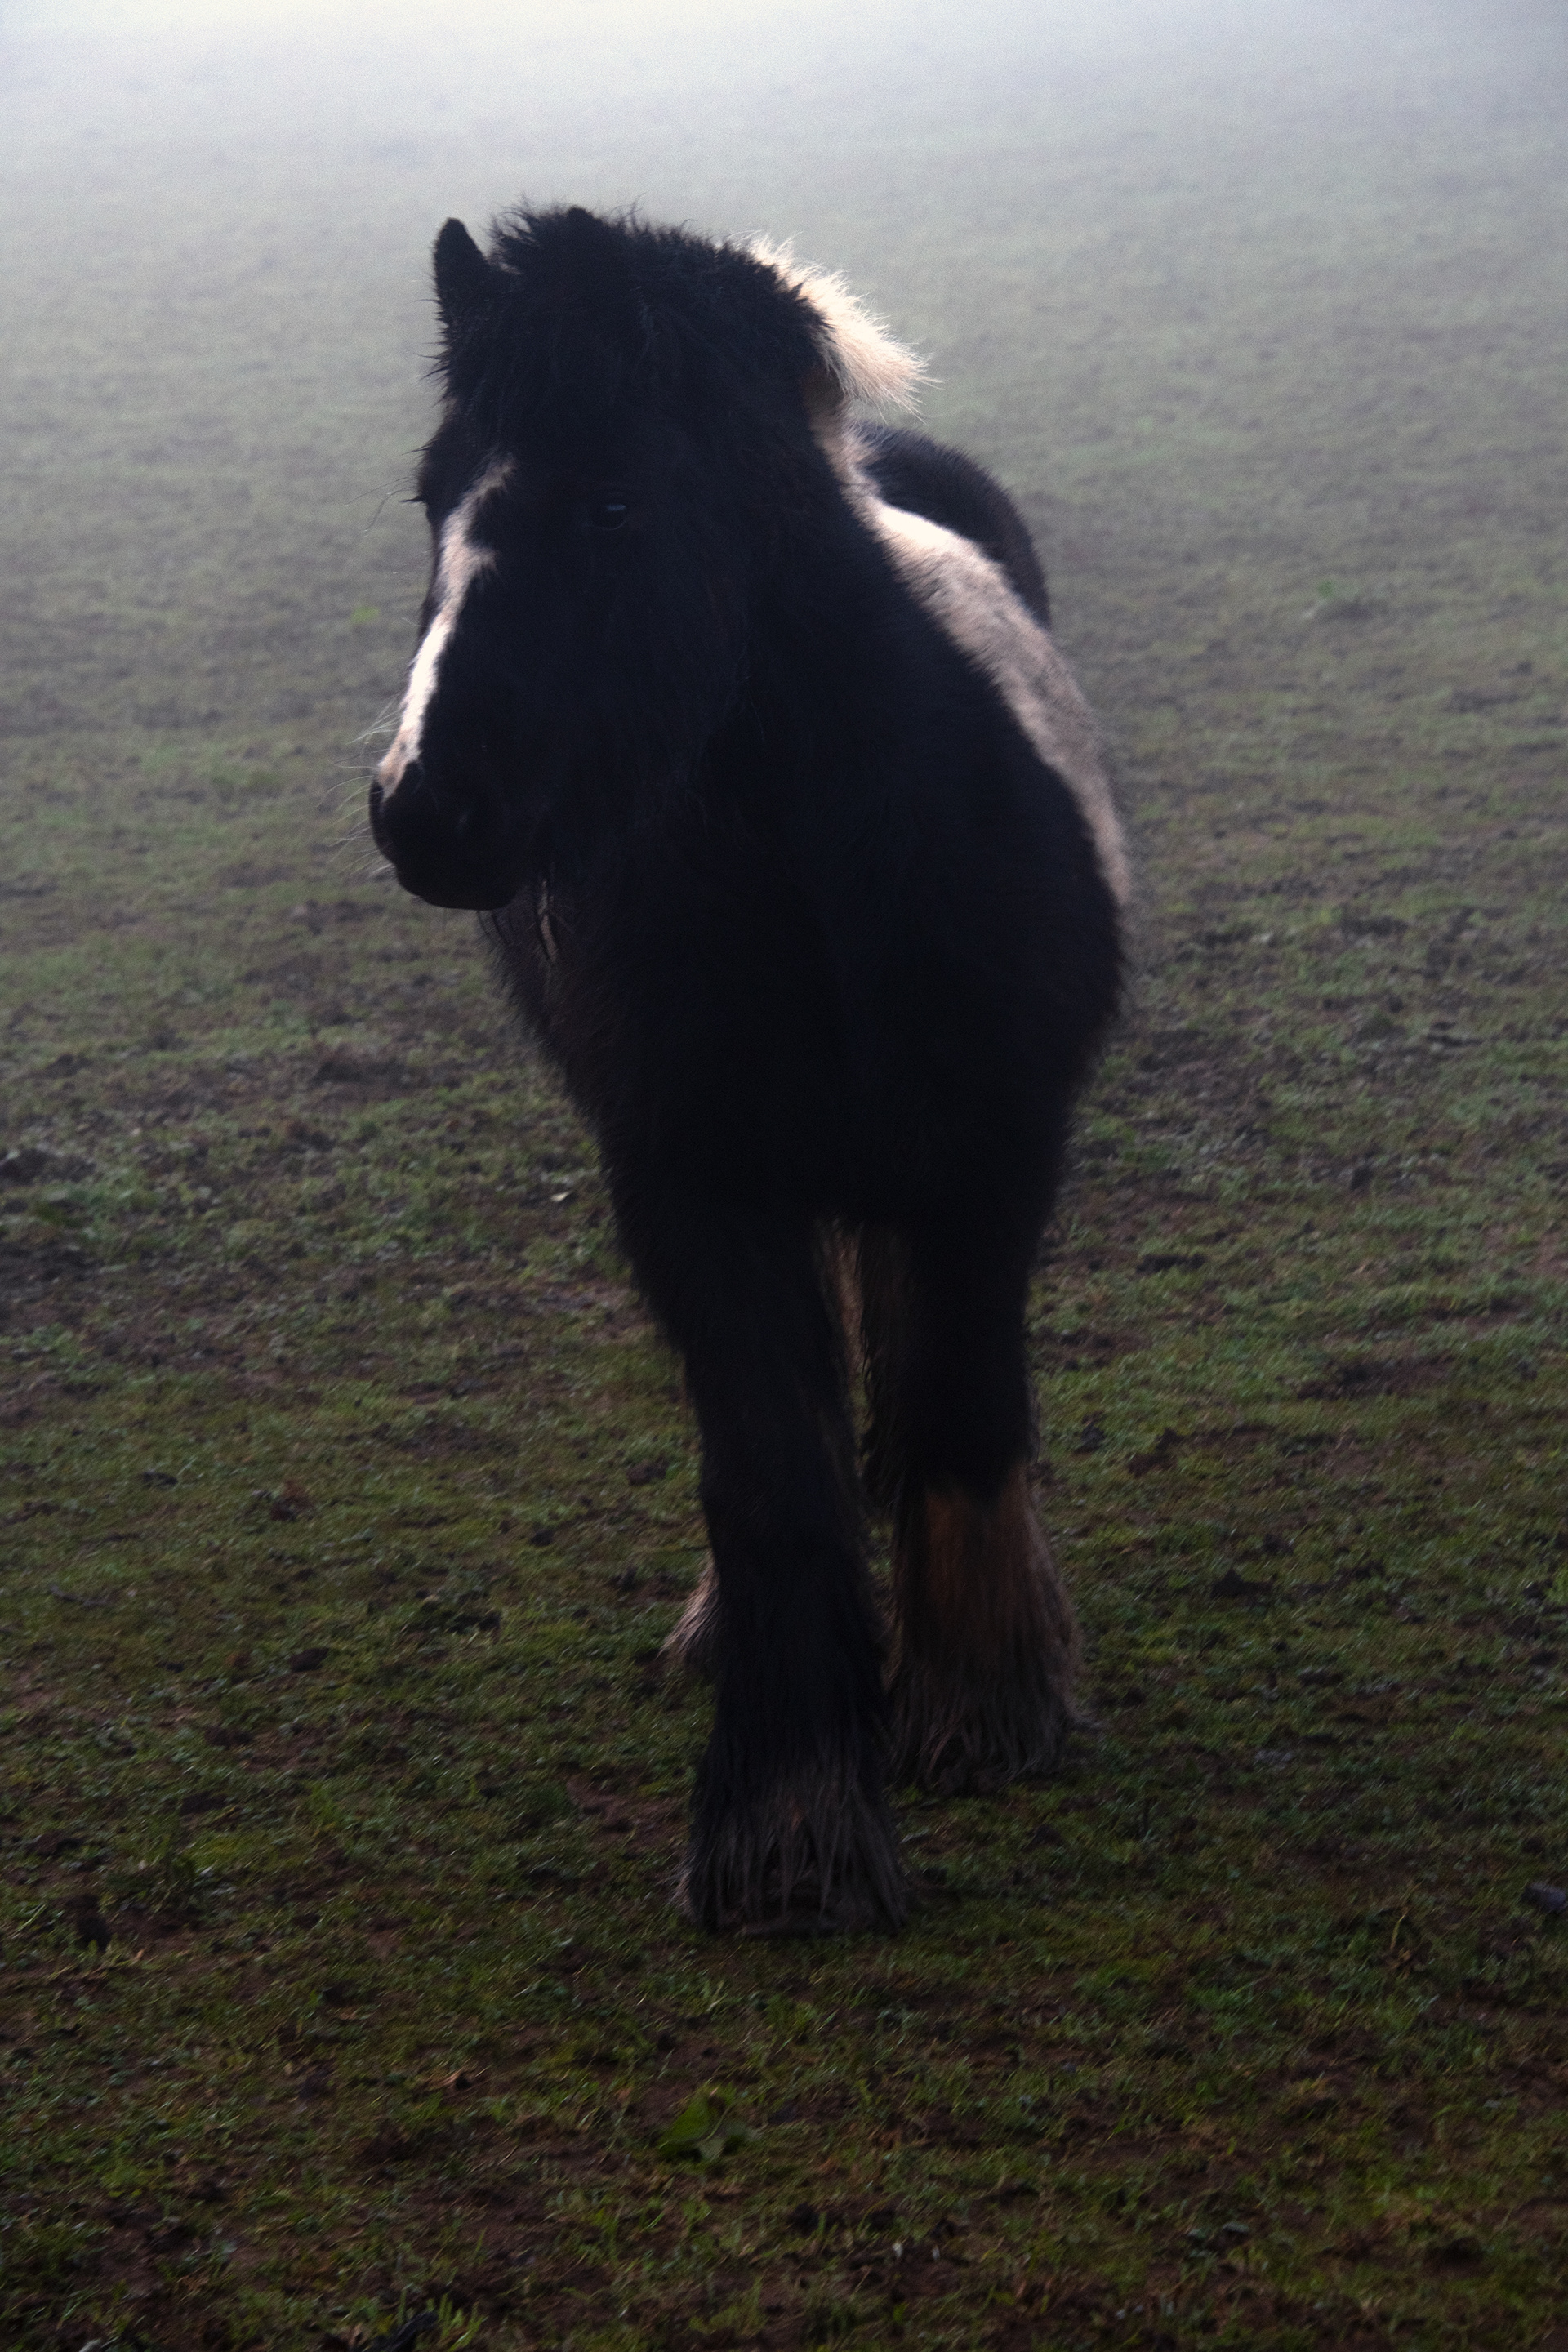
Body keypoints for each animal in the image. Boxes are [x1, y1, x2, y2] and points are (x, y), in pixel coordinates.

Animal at [369, 205, 1128, 1934]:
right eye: (436, 499)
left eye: (615, 501)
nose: (423, 807)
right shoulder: (690, 1178)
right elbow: (770, 1477)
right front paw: (789, 1827)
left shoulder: (994, 1152)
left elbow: (963, 1409)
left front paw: (983, 1706)